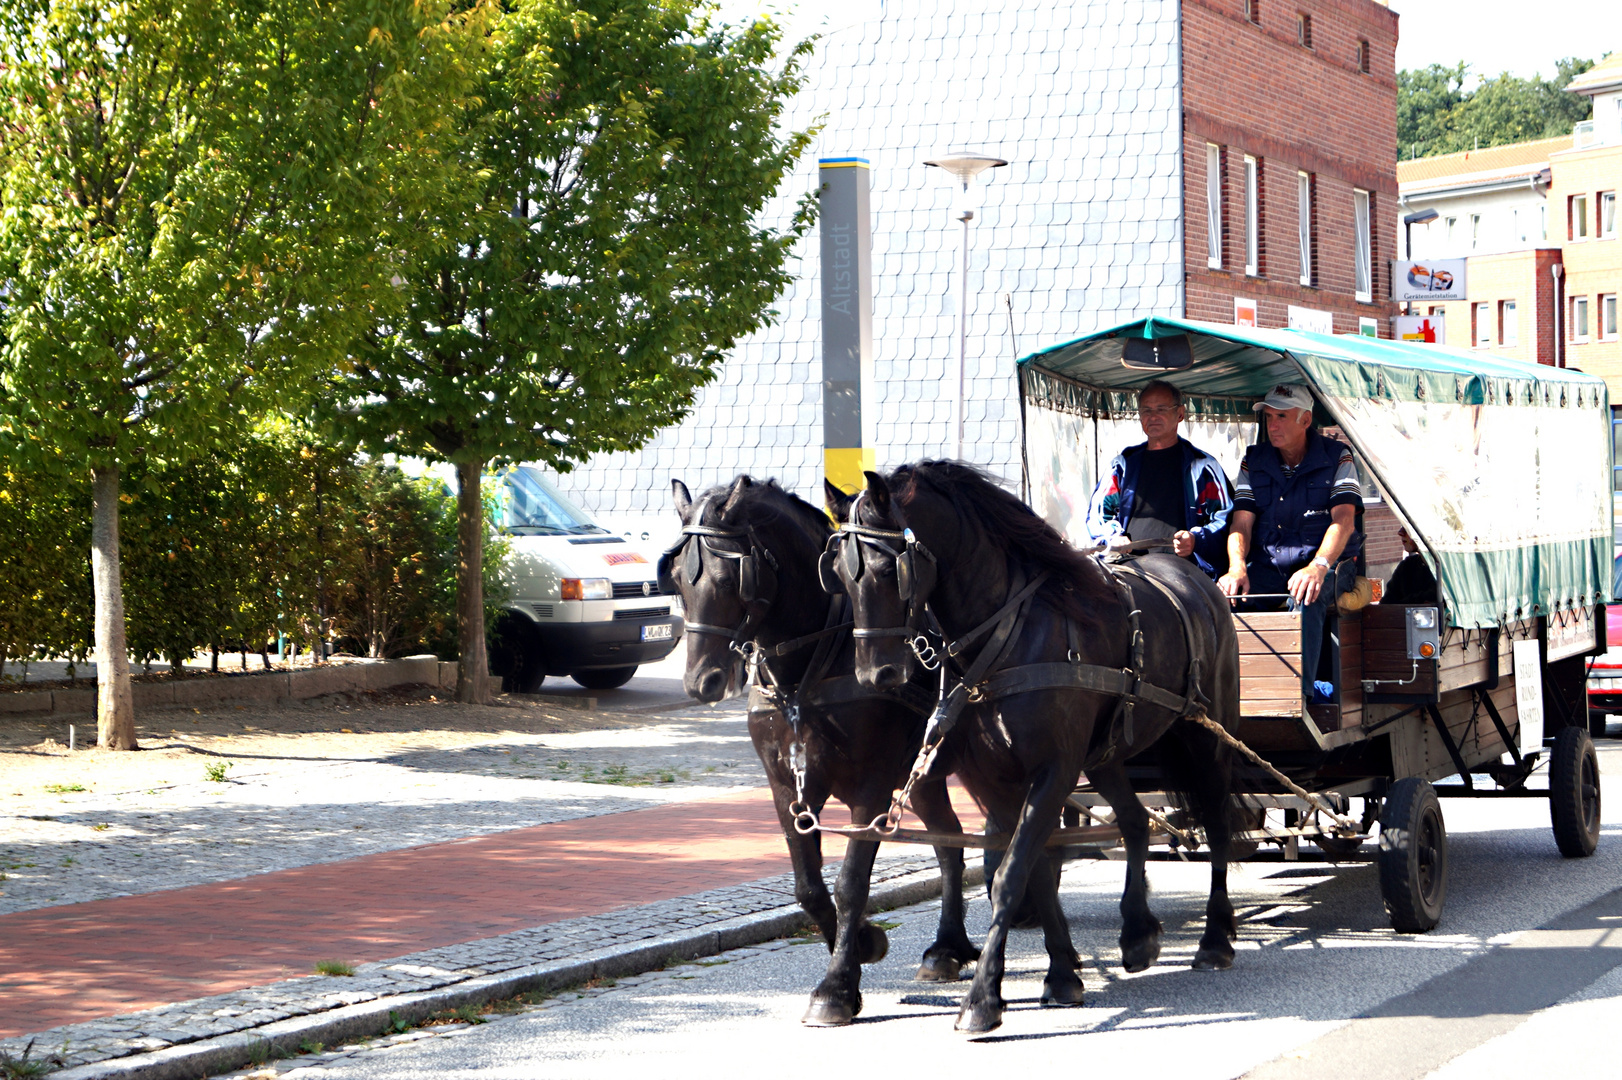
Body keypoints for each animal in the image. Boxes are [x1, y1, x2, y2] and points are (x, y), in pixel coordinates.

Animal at [658, 476, 973, 1024]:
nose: (701, 682)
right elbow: (808, 887)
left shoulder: (873, 785)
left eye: (728, 577)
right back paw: (948, 949)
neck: (809, 670)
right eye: (676, 579)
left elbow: (851, 883)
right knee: (951, 843)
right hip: (926, 776)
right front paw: (862, 944)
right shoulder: (787, 786)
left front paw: (837, 987)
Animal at [836, 457, 1239, 1031]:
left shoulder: (1053, 769)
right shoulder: (997, 778)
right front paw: (1062, 974)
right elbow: (1036, 868)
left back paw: (1215, 939)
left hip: (1207, 737)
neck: (1007, 633)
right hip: (1106, 754)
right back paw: (1138, 932)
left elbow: (1011, 874)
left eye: (889, 569)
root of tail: (1193, 578)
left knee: (1220, 824)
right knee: (1135, 820)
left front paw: (982, 1000)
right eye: (838, 574)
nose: (877, 675)